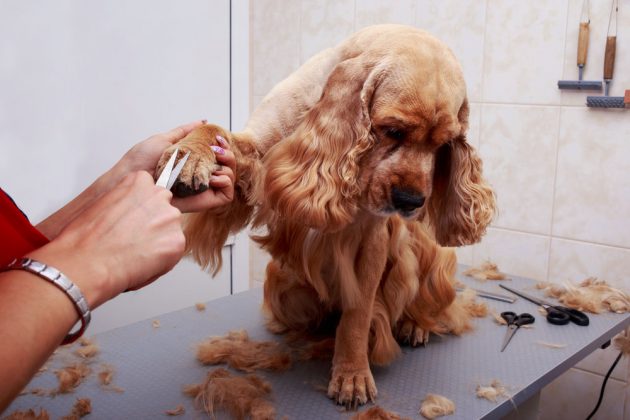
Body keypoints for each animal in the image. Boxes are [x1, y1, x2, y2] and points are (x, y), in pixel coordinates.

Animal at [157, 23, 494, 406]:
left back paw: (415, 325)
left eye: (443, 145)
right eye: (393, 130)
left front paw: (352, 375)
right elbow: (215, 130)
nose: (411, 201)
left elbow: (357, 315)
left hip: (433, 257)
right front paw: (189, 154)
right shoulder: (257, 147)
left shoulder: (371, 238)